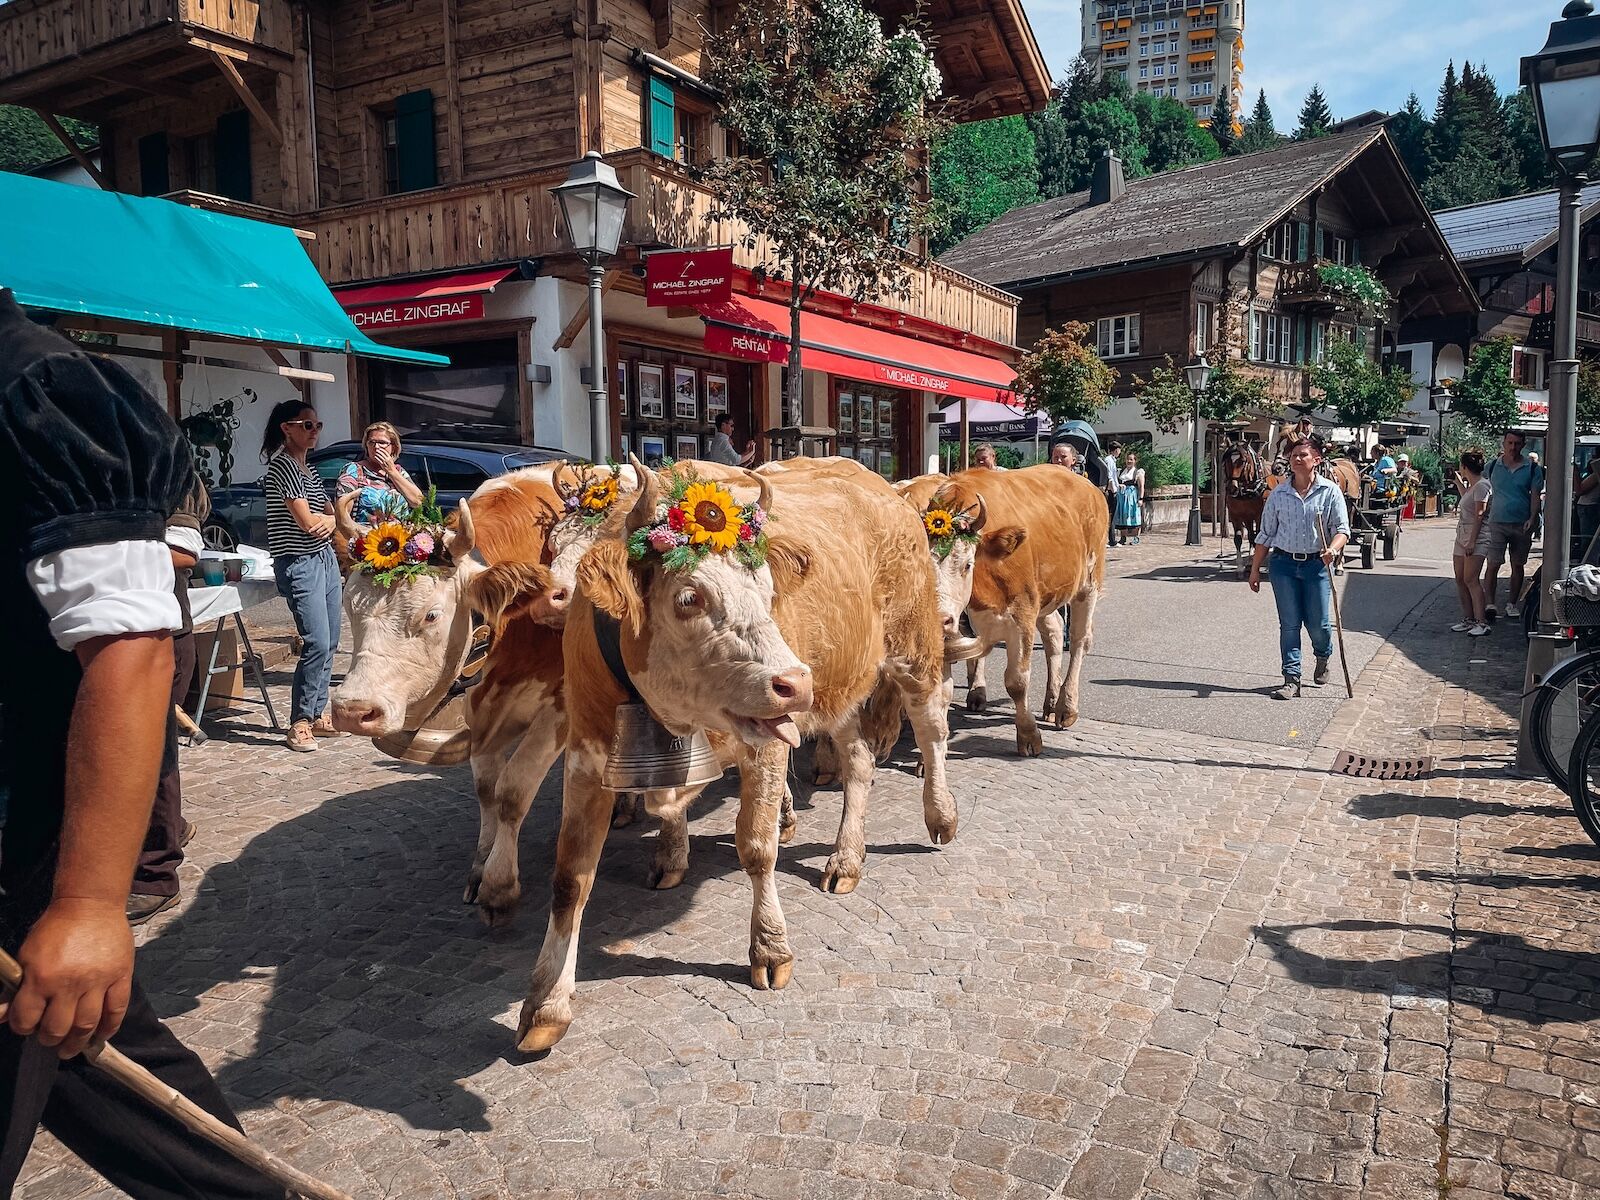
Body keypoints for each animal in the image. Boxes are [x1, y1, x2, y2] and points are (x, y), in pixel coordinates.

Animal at [518, 454, 953, 1056]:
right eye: (688, 598)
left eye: (769, 592)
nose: (793, 682)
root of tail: (884, 487)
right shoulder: (586, 759)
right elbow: (570, 878)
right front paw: (546, 1003)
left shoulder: (765, 743)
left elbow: (757, 847)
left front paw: (770, 947)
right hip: (837, 682)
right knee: (859, 761)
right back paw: (846, 858)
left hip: (912, 647)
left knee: (932, 726)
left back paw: (940, 815)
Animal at [908, 464, 1107, 755]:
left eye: (967, 565)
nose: (938, 619)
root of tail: (1087, 484)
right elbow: (941, 691)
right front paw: (930, 755)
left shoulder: (1021, 614)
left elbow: (1017, 681)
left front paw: (1029, 736)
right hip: (1045, 596)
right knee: (1054, 633)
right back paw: (1050, 701)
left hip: (1089, 582)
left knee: (1080, 640)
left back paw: (1066, 707)